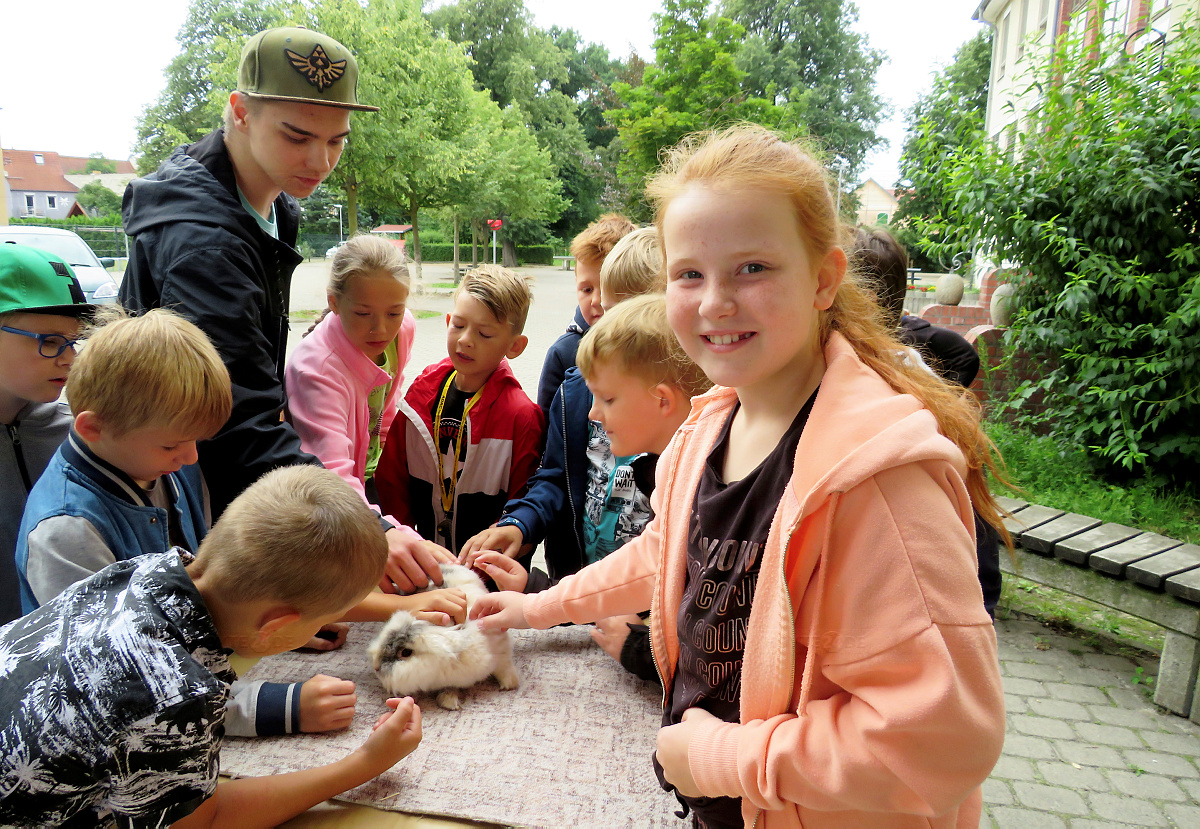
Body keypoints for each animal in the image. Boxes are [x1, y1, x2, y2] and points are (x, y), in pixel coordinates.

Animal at [364, 563, 516, 705]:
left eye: (405, 652)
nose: (376, 667)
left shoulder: (501, 647)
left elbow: (504, 667)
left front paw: (510, 685)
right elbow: (449, 688)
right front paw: (449, 701)